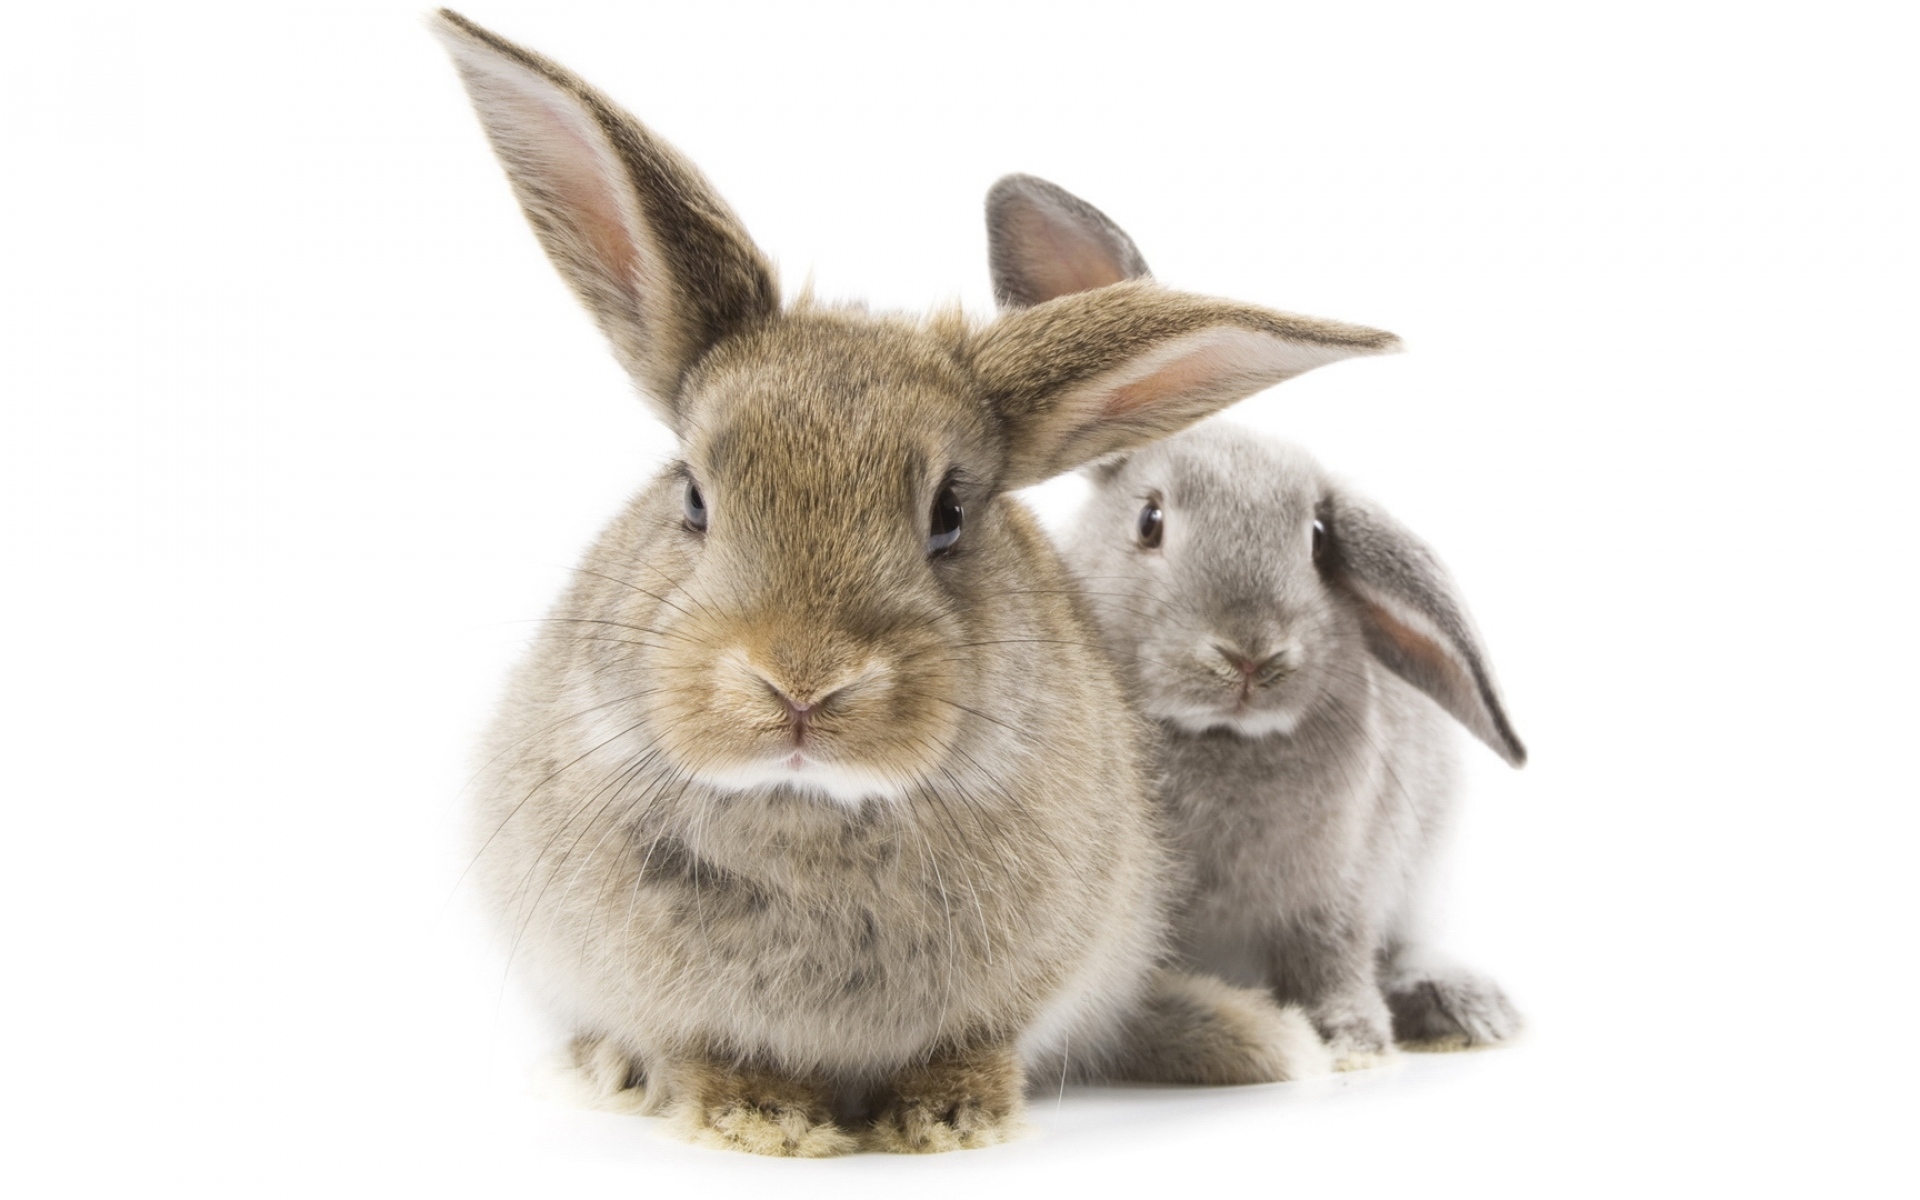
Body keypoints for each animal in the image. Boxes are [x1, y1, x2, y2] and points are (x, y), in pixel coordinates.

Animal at [432, 12, 1399, 1156]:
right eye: (694, 496)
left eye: (948, 516)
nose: (801, 684)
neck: (812, 810)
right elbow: (711, 1050)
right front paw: (765, 1122)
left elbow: (973, 1045)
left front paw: (947, 1119)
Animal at [987, 175, 1527, 1067]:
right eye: (1150, 521)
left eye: (1318, 541)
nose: (1249, 654)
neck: (1219, 742)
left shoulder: (1337, 893)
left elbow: (1333, 958)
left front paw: (1350, 1040)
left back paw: (1460, 1005)